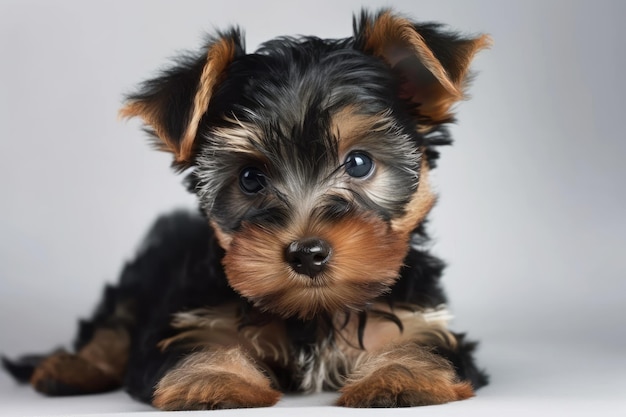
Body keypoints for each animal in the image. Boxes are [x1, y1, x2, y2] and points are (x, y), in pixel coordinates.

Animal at [2, 8, 490, 408]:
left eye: (359, 163)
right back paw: (69, 369)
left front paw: (400, 376)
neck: (312, 315)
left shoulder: (421, 318)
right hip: (141, 275)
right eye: (251, 178)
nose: (307, 253)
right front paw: (212, 381)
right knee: (112, 325)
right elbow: (198, 344)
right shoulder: (190, 317)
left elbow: (423, 345)